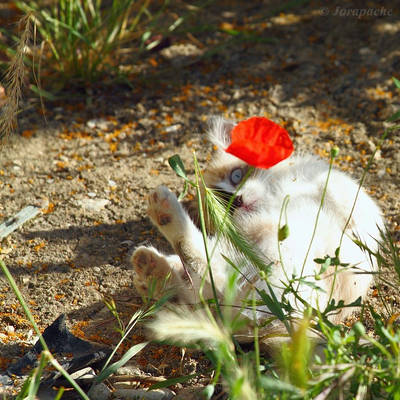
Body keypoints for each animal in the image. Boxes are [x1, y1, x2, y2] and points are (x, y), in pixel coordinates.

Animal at [132, 117, 384, 342]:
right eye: (222, 205)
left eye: (236, 176)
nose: (237, 201)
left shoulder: (345, 196)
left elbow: (339, 200)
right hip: (272, 262)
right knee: (207, 274)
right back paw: (158, 236)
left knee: (209, 288)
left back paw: (153, 266)